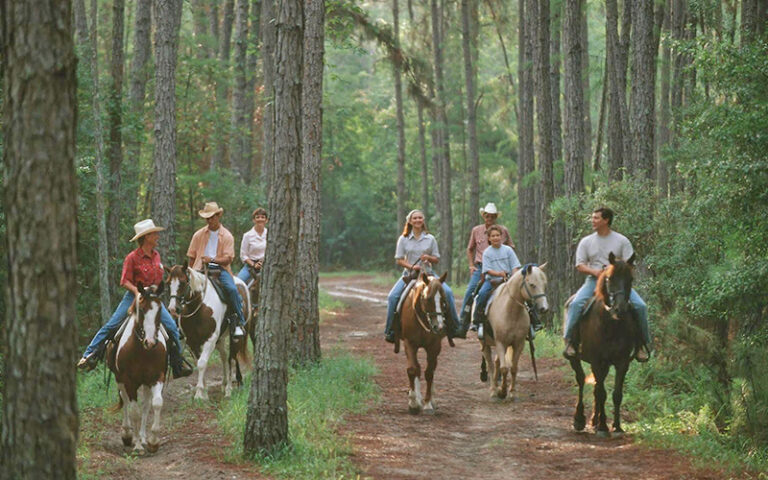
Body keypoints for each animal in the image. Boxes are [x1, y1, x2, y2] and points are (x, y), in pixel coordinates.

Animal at [105, 284, 168, 456]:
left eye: (160, 309)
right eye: (143, 309)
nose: (150, 342)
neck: (142, 351)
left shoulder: (157, 377)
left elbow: (156, 404)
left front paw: (153, 441)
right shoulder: (129, 381)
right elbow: (134, 410)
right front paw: (137, 446)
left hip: (146, 383)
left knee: (146, 405)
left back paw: (143, 437)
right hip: (120, 380)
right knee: (125, 400)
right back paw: (128, 434)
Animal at [165, 260, 249, 400]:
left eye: (183, 282)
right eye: (168, 283)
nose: (172, 309)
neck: (199, 307)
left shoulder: (210, 339)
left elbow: (202, 363)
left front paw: (199, 393)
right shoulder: (192, 342)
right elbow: (198, 363)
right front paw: (204, 393)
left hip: (235, 337)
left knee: (231, 358)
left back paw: (229, 389)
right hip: (220, 339)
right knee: (224, 356)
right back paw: (224, 383)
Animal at [396, 272, 450, 414]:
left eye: (443, 300)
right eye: (428, 299)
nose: (439, 327)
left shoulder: (434, 346)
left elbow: (429, 373)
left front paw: (428, 404)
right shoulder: (409, 343)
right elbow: (412, 369)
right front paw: (413, 403)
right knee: (417, 368)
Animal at [480, 264, 544, 400]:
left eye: (544, 284)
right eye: (532, 284)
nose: (543, 308)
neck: (511, 311)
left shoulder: (519, 343)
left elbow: (513, 368)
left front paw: (512, 392)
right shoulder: (500, 342)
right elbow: (504, 368)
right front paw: (502, 392)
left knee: (496, 362)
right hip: (485, 343)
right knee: (490, 364)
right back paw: (493, 390)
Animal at [560, 253, 640, 436]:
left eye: (630, 279)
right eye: (609, 278)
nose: (620, 309)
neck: (610, 324)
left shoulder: (621, 362)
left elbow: (616, 394)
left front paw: (616, 427)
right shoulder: (596, 360)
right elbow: (602, 393)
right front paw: (603, 427)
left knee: (597, 385)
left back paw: (595, 421)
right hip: (575, 358)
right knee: (582, 381)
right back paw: (580, 420)